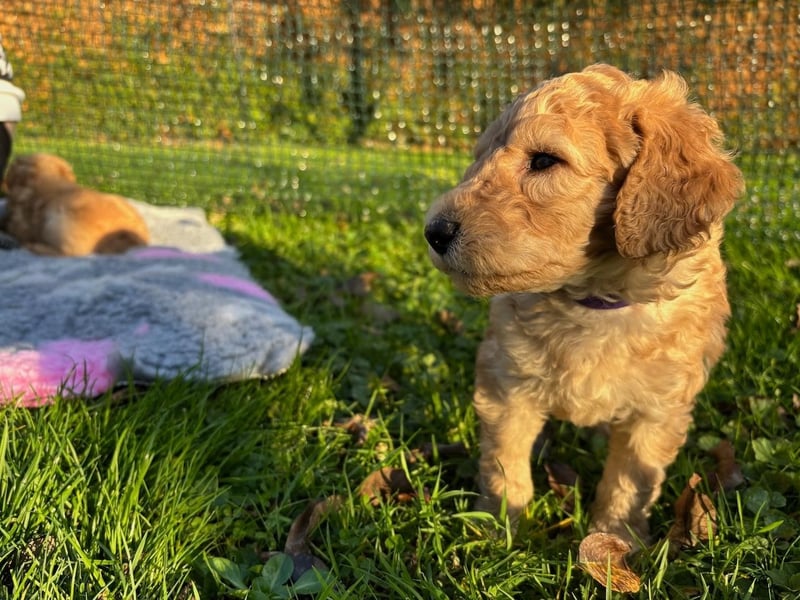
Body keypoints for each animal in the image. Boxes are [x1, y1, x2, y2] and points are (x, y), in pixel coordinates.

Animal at [424, 64, 744, 544]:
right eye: (479, 158)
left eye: (544, 160)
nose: (434, 231)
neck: (593, 299)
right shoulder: (507, 383)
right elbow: (504, 462)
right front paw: (500, 528)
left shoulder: (656, 410)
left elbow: (630, 480)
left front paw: (616, 542)